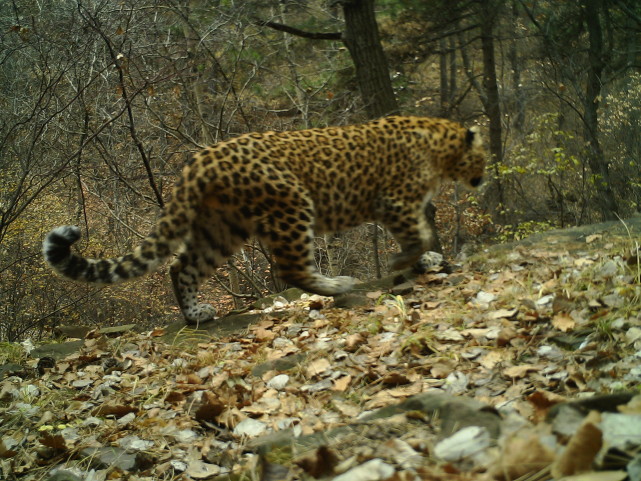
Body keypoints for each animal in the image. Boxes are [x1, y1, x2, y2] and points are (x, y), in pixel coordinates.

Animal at [43, 115, 484, 324]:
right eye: (481, 156)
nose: (482, 177)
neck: (440, 148)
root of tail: (201, 159)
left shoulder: (403, 207)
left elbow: (420, 234)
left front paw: (425, 261)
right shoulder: (395, 201)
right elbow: (419, 234)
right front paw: (409, 261)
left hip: (221, 226)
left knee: (181, 267)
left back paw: (195, 314)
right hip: (291, 203)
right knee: (291, 267)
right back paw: (336, 284)